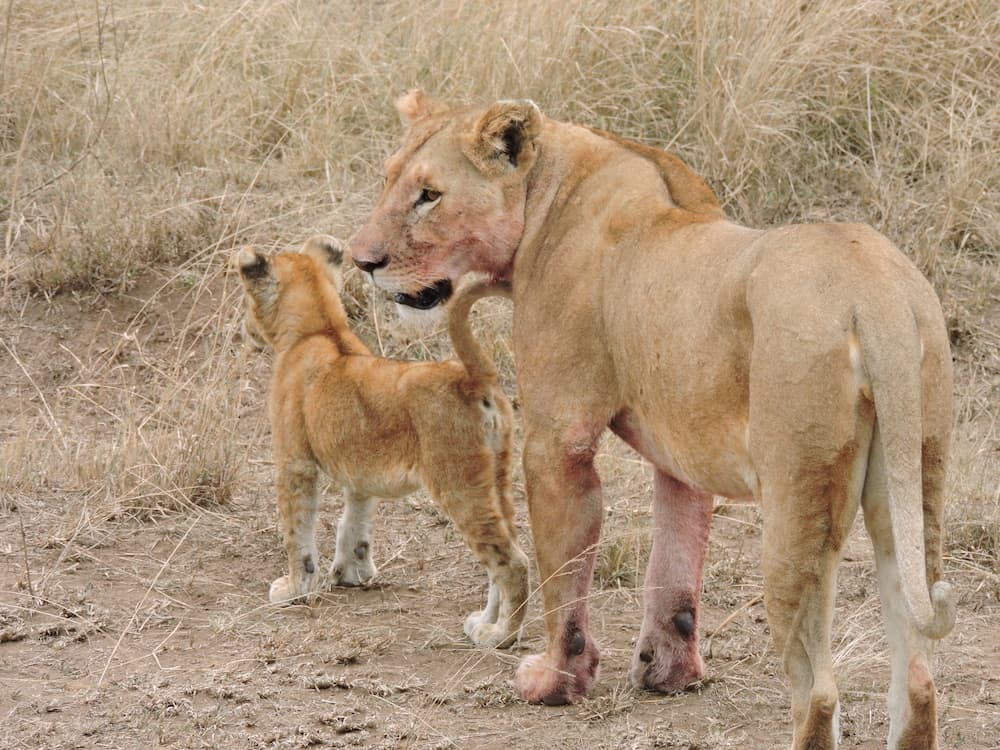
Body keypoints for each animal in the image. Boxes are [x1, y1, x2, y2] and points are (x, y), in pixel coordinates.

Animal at [234, 234, 529, 649]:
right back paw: (483, 623)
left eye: (246, 299)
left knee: (513, 562)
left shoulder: (294, 463)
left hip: (459, 482)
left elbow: (298, 531)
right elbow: (354, 521)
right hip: (498, 479)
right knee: (500, 558)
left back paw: (501, 636)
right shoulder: (359, 469)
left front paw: (294, 588)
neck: (320, 329)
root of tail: (473, 376)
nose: (243, 329)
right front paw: (351, 573)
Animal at [349, 91, 956, 749]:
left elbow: (565, 575)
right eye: (387, 181)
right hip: (912, 488)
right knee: (919, 679)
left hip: (797, 503)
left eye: (429, 195)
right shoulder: (681, 455)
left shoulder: (558, 440)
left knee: (817, 692)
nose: (362, 261)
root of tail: (872, 293)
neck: (550, 192)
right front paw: (668, 673)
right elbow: (674, 565)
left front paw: (554, 682)